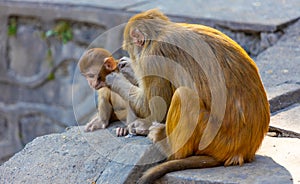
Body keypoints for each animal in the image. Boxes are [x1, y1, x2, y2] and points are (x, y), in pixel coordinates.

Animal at [105, 9, 270, 183]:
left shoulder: (152, 58)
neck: (160, 32)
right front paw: (127, 67)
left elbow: (155, 109)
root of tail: (242, 151)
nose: (130, 57)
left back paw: (169, 146)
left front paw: (114, 79)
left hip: (213, 138)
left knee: (185, 95)